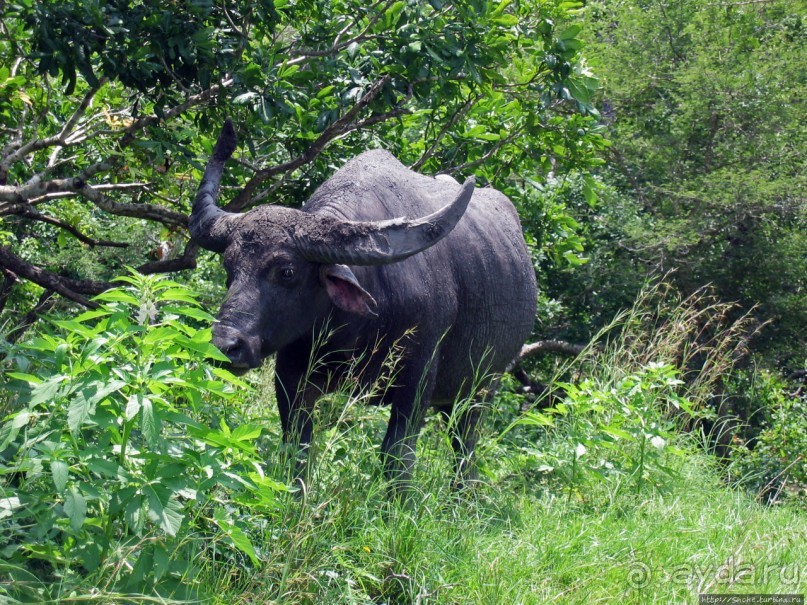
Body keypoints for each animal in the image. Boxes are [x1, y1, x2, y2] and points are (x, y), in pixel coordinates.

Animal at [189, 121, 536, 486]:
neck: (354, 328)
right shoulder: (291, 376)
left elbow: (396, 460)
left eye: (287, 271)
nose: (225, 345)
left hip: (480, 389)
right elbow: (297, 451)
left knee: (464, 450)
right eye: (229, 267)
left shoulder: (417, 381)